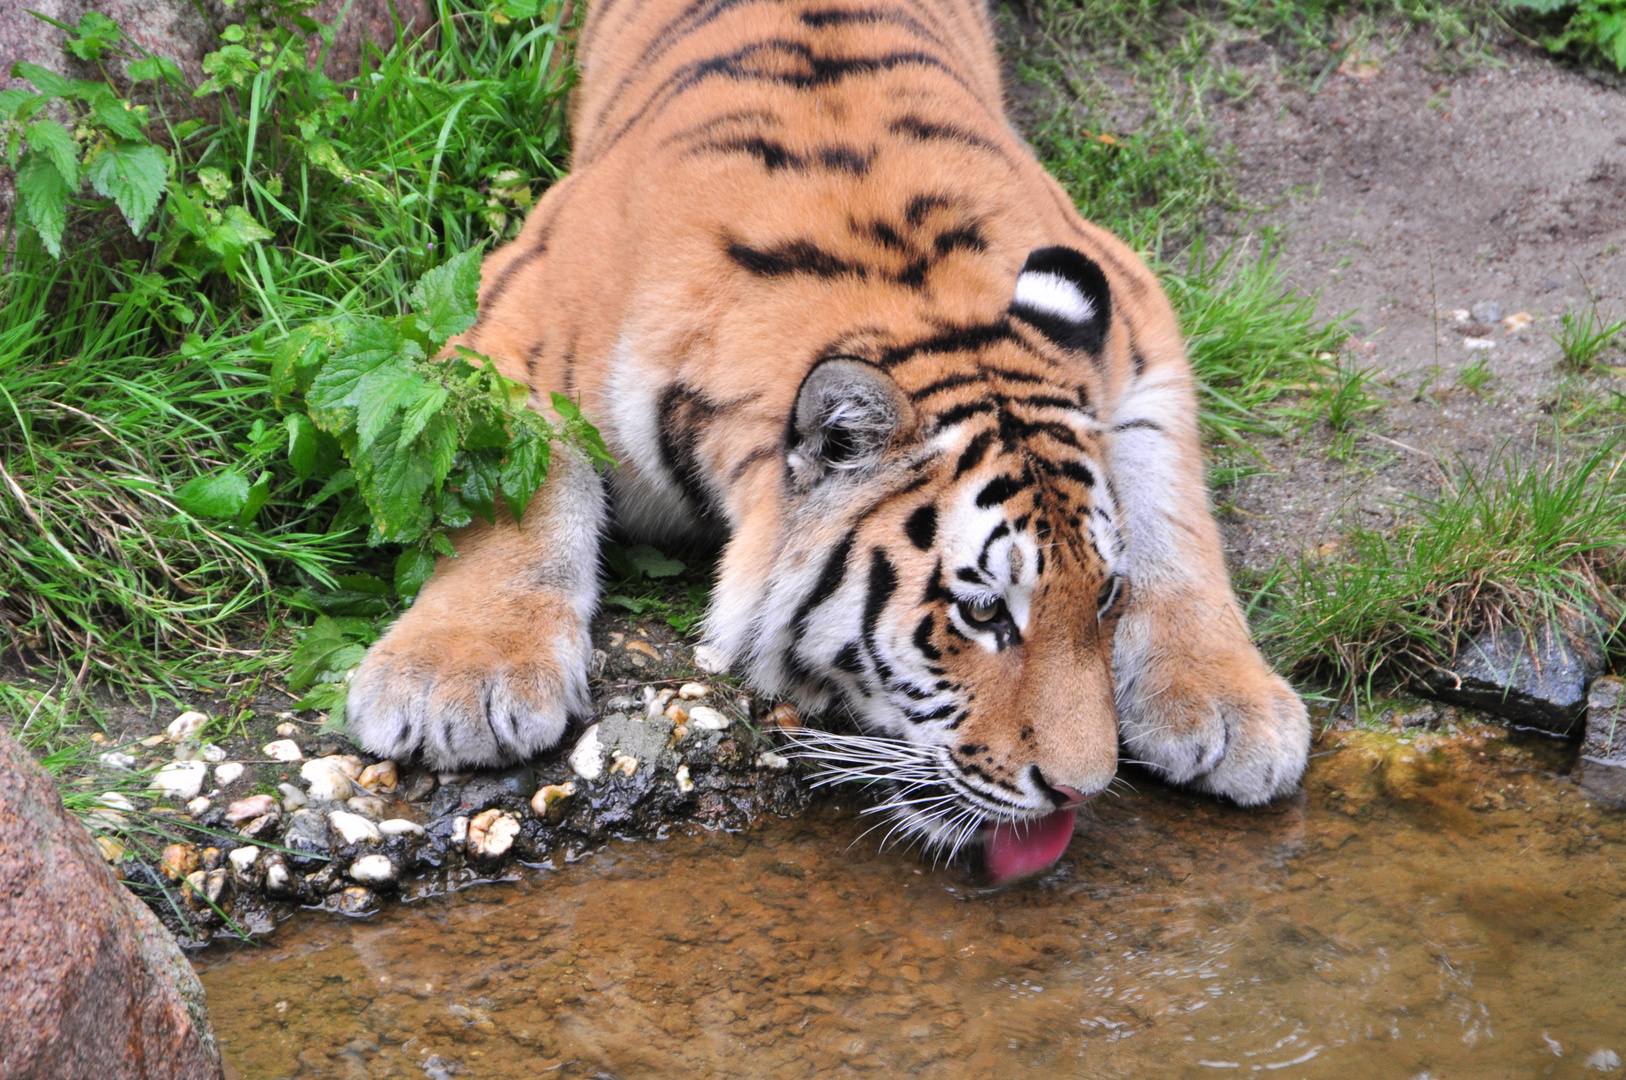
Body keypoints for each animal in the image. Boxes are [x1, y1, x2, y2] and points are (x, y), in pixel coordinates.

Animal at [343, 0, 1307, 871]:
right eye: (982, 612)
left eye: (1106, 598)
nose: (1081, 790)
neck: (905, 293)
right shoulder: (517, 313)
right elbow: (511, 490)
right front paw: (457, 681)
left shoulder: (1137, 313)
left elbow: (1175, 516)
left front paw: (1226, 704)